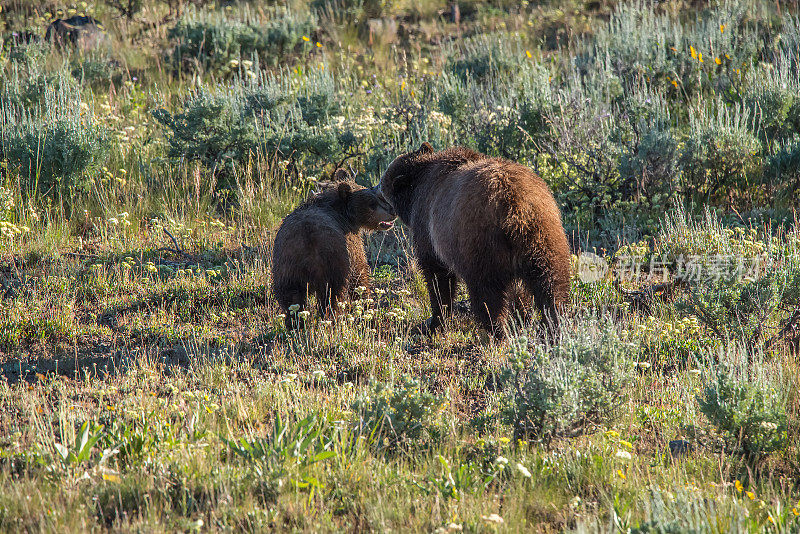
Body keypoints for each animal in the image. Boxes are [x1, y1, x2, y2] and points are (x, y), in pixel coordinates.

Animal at [380, 143, 568, 340]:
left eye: (382, 185)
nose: (374, 189)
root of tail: (514, 207)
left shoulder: (427, 227)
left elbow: (437, 276)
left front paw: (435, 322)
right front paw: (521, 317)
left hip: (479, 243)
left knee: (486, 294)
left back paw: (497, 332)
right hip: (544, 235)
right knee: (552, 284)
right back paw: (555, 325)